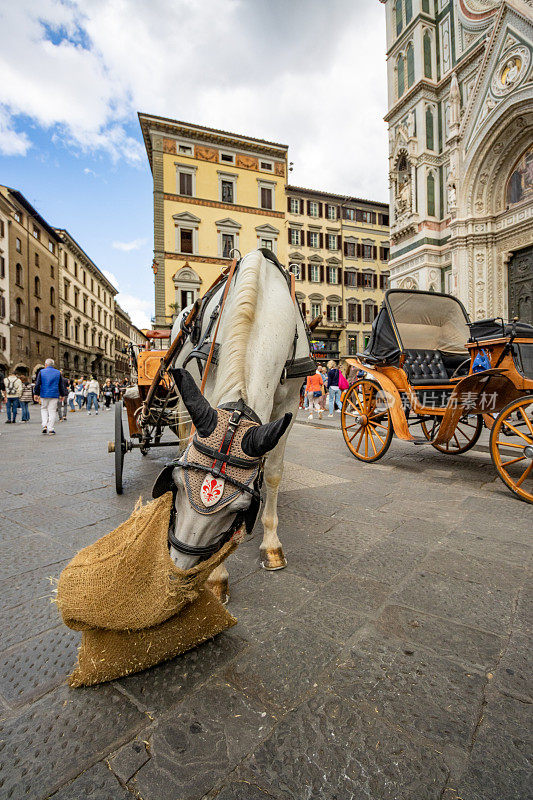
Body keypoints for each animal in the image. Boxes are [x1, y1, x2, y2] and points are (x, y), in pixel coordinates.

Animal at [165, 250, 308, 600]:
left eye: (240, 509)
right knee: (183, 437)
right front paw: (216, 577)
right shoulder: (208, 391)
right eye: (175, 484)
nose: (180, 573)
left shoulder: (289, 404)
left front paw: (271, 546)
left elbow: (272, 473)